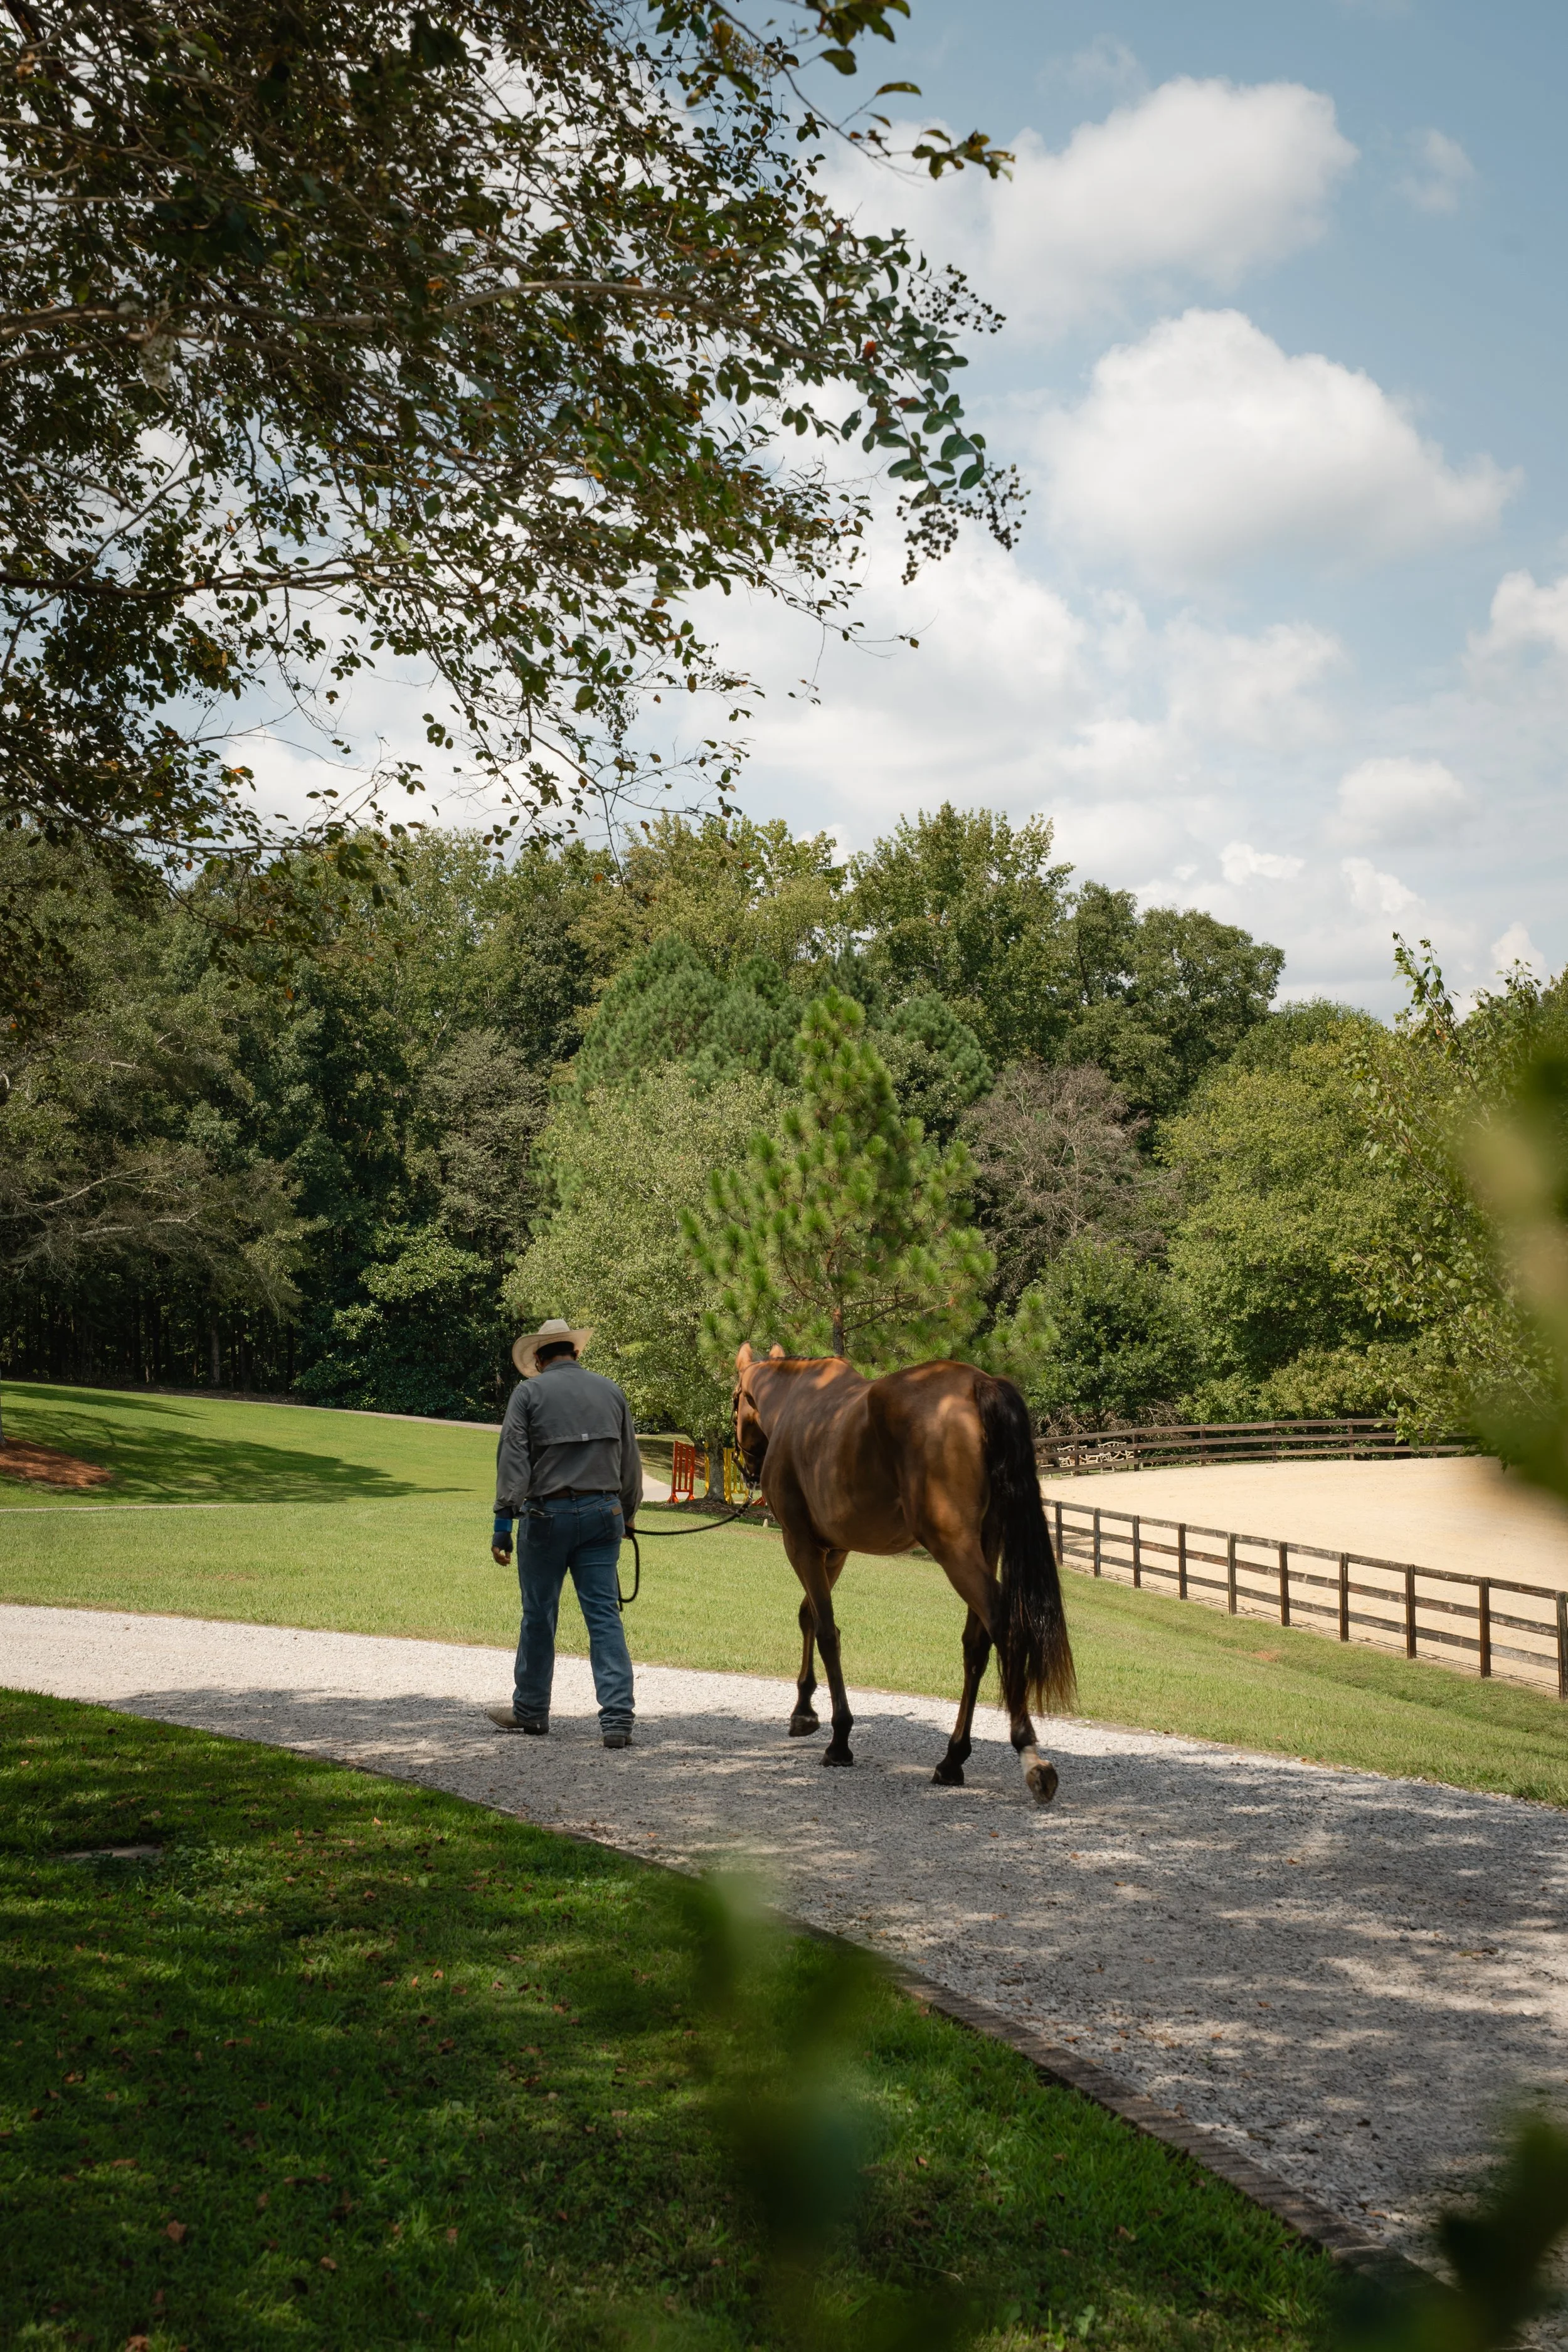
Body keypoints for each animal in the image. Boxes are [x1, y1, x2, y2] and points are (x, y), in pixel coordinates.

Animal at [731, 1344, 1076, 1804]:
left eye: (735, 1400)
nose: (748, 1469)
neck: (797, 1402)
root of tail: (978, 1383)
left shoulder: (800, 1544)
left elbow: (826, 1632)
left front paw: (839, 1739)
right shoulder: (834, 1551)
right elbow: (809, 1616)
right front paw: (803, 1711)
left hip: (954, 1549)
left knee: (1004, 1626)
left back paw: (1030, 1756)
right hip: (985, 1544)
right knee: (976, 1644)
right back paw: (952, 1759)